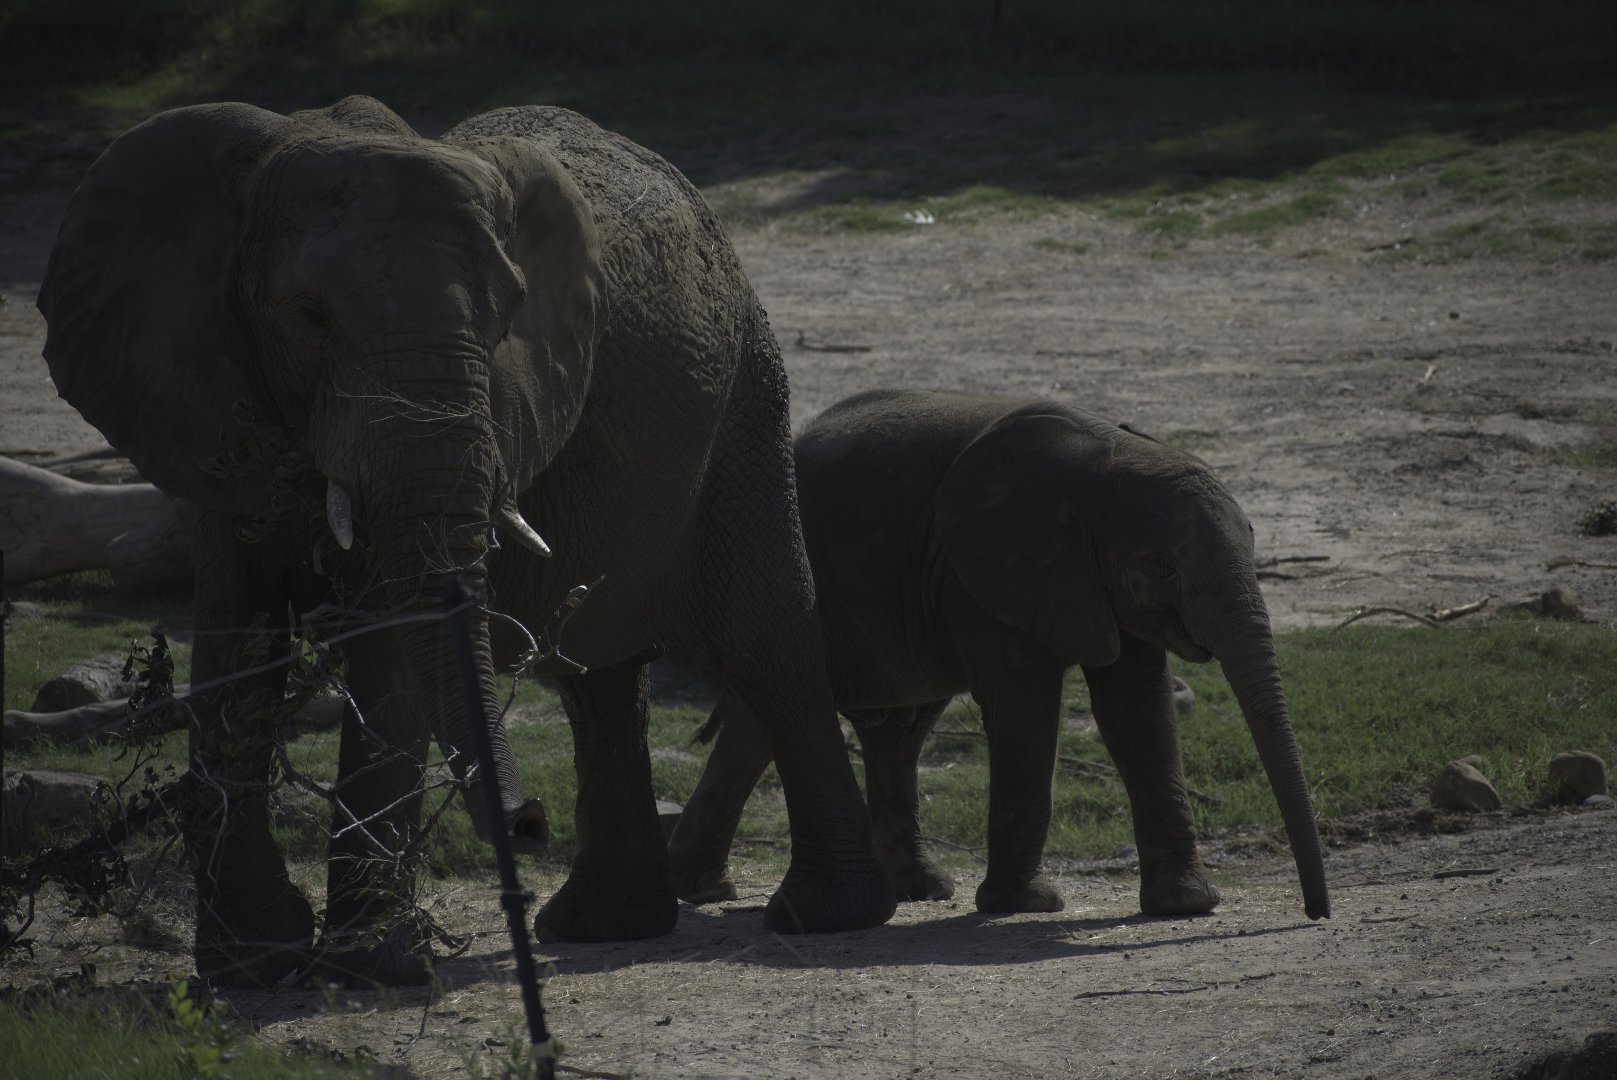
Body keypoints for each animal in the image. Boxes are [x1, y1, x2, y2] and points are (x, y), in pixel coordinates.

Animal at [37, 95, 894, 986]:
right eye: (308, 318)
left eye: (504, 316)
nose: (528, 822)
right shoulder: (209, 398)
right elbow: (236, 642)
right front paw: (253, 965)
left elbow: (389, 644)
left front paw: (371, 968)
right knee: (597, 671)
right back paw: (602, 928)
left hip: (744, 397)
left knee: (760, 635)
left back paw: (820, 916)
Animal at [670, 389, 1330, 921]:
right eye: (1162, 565)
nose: (1316, 913)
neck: (1110, 463)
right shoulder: (985, 572)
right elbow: (1026, 704)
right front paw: (1027, 906)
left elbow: (1137, 710)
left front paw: (1187, 905)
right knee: (766, 721)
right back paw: (706, 893)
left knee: (894, 731)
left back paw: (915, 891)